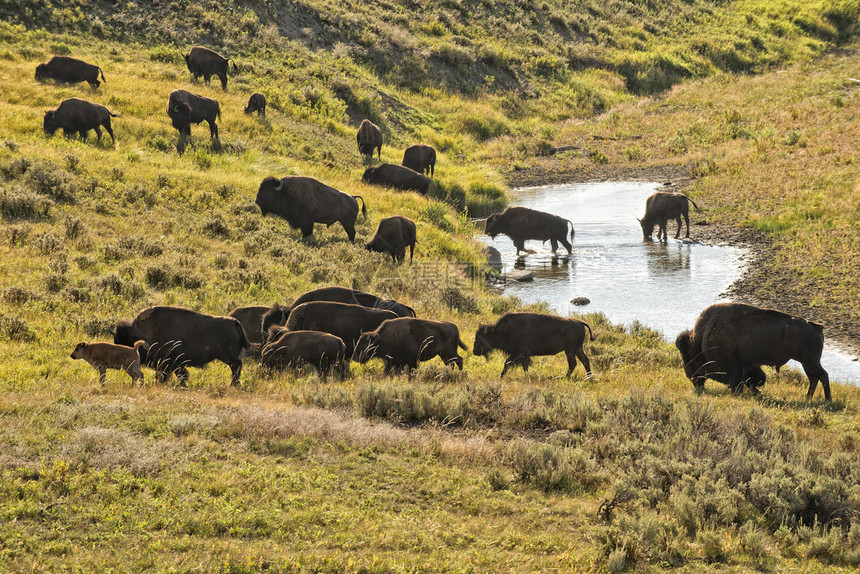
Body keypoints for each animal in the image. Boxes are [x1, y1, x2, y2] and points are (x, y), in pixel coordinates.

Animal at [111, 306, 249, 388]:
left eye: (121, 342)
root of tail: (234, 322)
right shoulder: (174, 364)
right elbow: (178, 374)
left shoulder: (169, 362)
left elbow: (175, 374)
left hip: (228, 357)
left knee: (236, 367)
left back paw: (233, 384)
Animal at [676, 304, 828, 402]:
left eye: (687, 357)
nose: (692, 378)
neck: (701, 339)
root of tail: (816, 327)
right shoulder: (746, 366)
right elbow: (750, 380)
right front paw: (758, 393)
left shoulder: (732, 367)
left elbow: (739, 382)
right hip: (806, 363)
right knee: (814, 378)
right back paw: (808, 398)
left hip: (810, 361)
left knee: (822, 376)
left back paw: (827, 400)